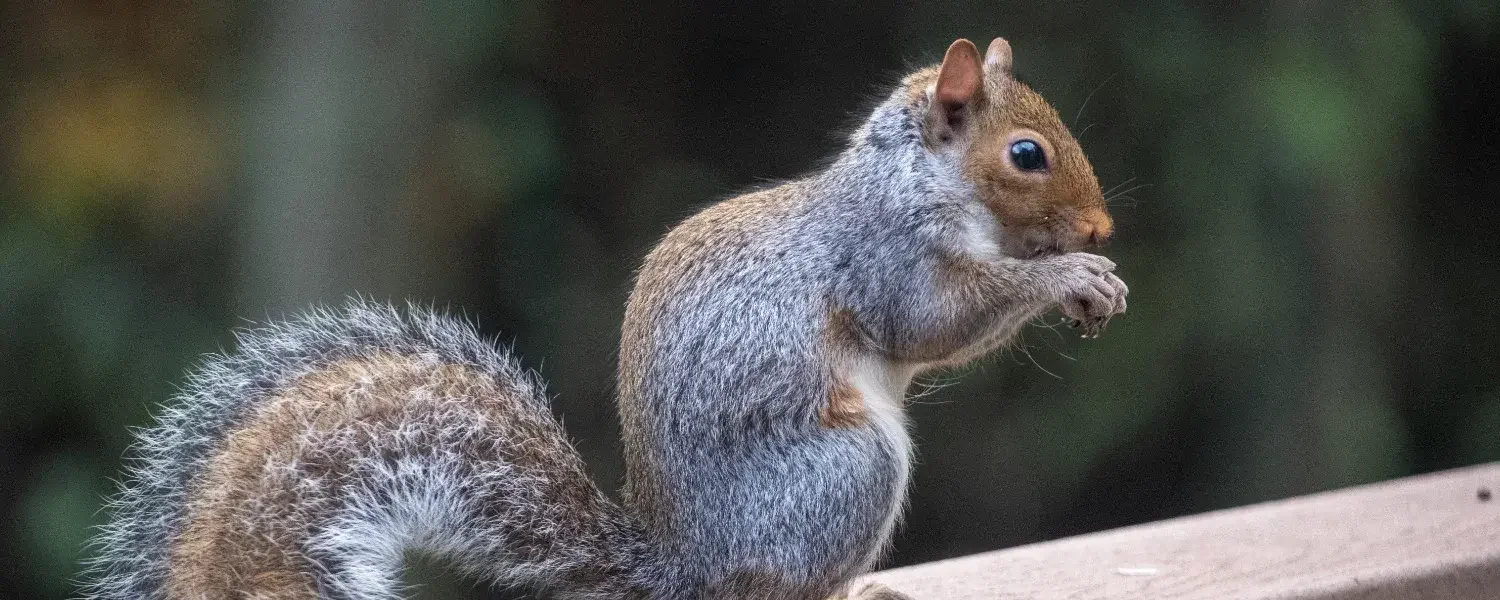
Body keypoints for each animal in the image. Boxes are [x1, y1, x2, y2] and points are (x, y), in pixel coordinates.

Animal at [83, 37, 1126, 600]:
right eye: (1026, 153)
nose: (1101, 226)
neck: (919, 180)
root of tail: (681, 566)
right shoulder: (885, 257)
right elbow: (932, 321)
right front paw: (1070, 276)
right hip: (849, 469)